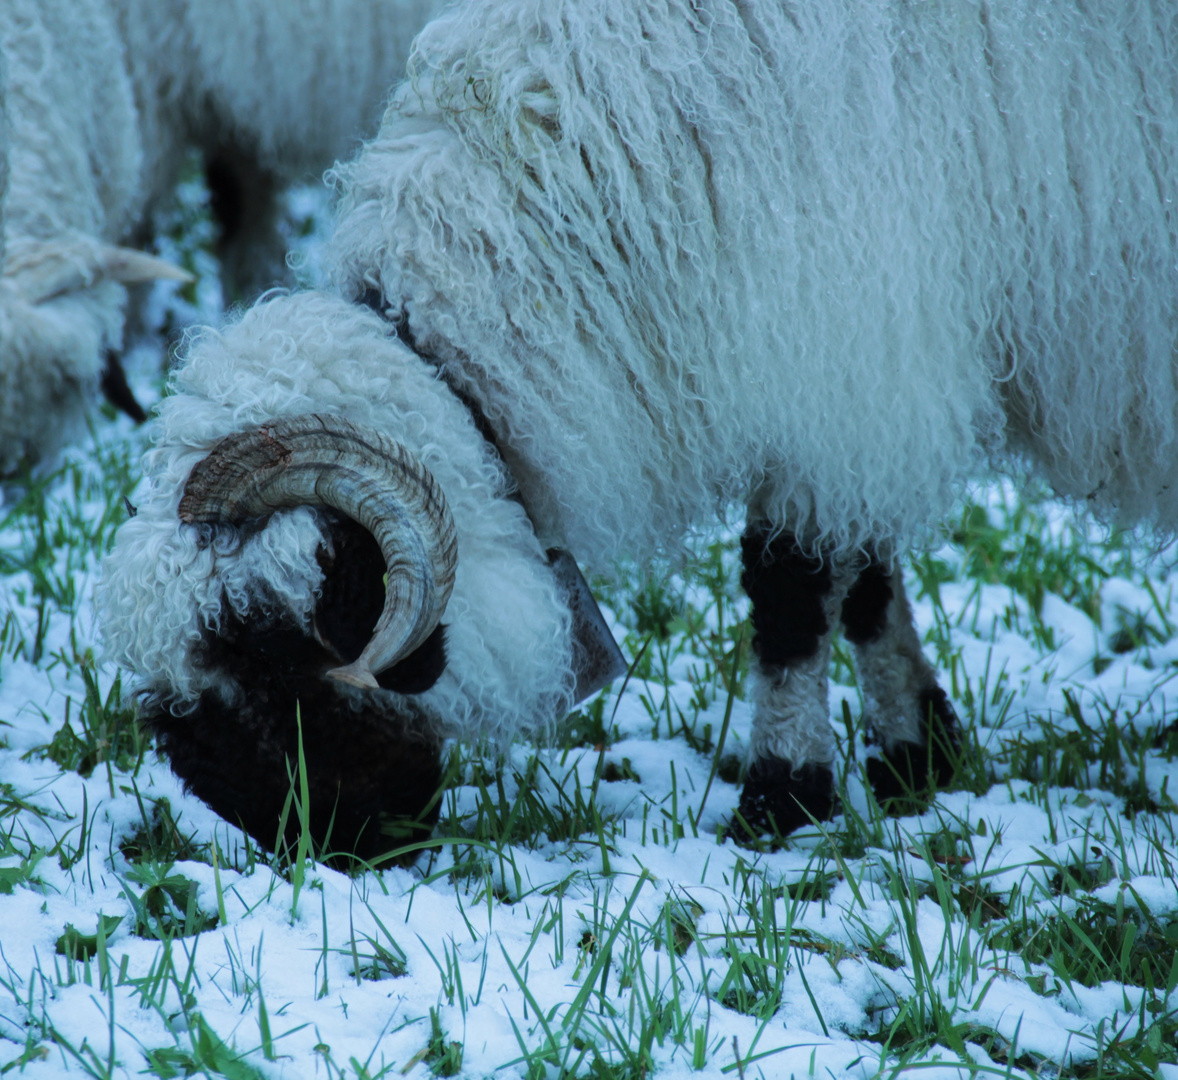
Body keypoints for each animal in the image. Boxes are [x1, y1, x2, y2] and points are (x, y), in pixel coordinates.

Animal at [96, 0, 1178, 857]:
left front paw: (781, 797)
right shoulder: (853, 377)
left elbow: (790, 587)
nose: (324, 852)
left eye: (270, 654)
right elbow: (867, 577)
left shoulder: (843, 333)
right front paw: (918, 755)